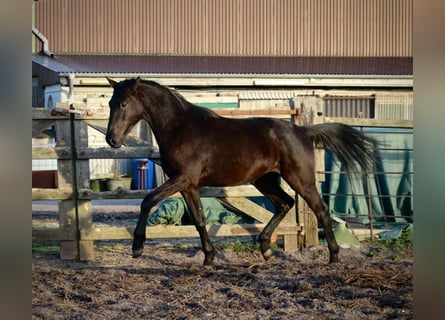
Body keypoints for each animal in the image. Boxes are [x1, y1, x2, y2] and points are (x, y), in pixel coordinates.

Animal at [106, 77, 376, 264]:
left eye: (123, 103)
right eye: (110, 103)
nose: (112, 140)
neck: (180, 128)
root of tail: (302, 131)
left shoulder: (183, 179)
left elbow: (147, 200)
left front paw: (137, 247)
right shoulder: (187, 184)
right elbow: (200, 219)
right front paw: (209, 258)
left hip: (300, 179)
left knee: (320, 209)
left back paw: (334, 256)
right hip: (265, 180)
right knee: (285, 203)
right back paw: (266, 248)